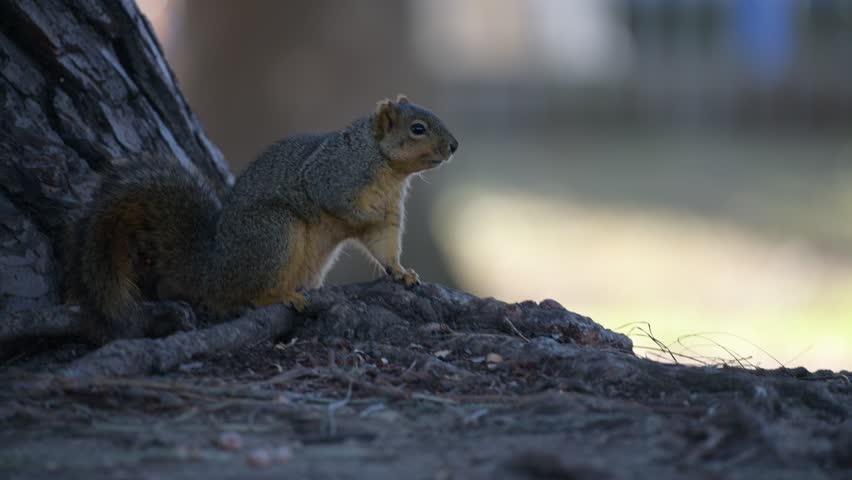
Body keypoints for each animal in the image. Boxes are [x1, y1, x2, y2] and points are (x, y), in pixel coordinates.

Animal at [65, 95, 458, 342]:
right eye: (418, 128)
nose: (454, 146)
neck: (386, 166)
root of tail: (211, 269)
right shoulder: (333, 175)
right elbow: (338, 204)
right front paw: (363, 215)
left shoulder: (389, 218)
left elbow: (384, 245)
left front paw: (401, 272)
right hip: (275, 233)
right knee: (244, 296)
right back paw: (280, 296)